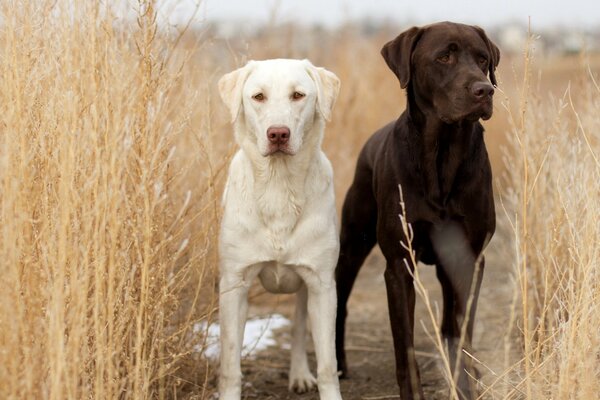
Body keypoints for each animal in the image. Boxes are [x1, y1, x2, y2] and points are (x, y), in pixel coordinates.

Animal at [218, 59, 342, 400]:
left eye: (298, 95)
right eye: (258, 97)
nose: (278, 134)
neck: (278, 186)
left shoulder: (322, 285)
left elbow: (327, 364)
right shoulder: (234, 285)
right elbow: (229, 363)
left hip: (306, 288)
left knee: (299, 329)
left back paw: (299, 374)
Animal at [336, 22, 500, 400]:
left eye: (483, 59)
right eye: (444, 57)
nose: (484, 90)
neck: (442, 154)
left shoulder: (469, 258)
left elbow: (462, 329)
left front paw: (466, 381)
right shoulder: (399, 264)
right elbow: (405, 345)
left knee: (450, 323)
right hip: (353, 243)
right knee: (339, 300)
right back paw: (336, 364)